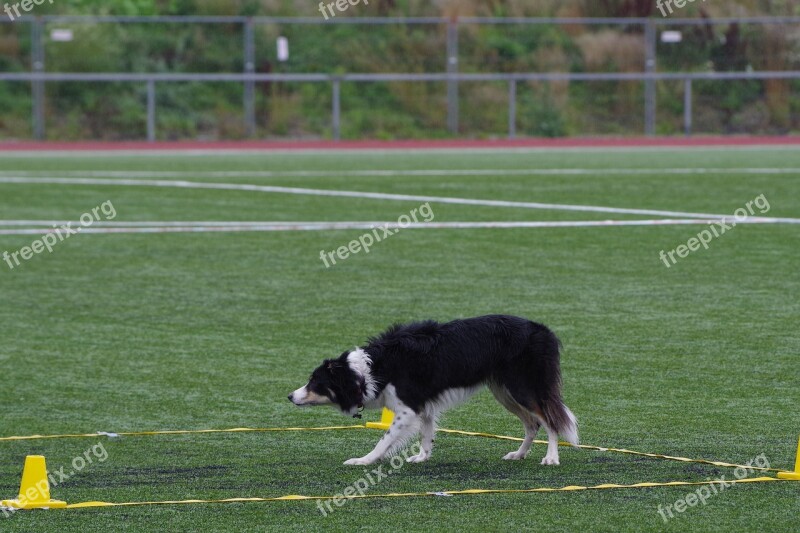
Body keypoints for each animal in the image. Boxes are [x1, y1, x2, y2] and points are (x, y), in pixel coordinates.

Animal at [290, 314, 580, 464]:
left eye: (316, 383)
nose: (290, 396)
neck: (369, 370)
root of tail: (543, 330)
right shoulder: (423, 405)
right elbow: (426, 433)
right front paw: (422, 457)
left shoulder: (407, 409)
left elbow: (384, 440)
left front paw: (364, 460)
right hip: (504, 392)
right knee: (532, 423)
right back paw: (518, 454)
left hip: (522, 388)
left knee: (550, 420)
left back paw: (551, 458)